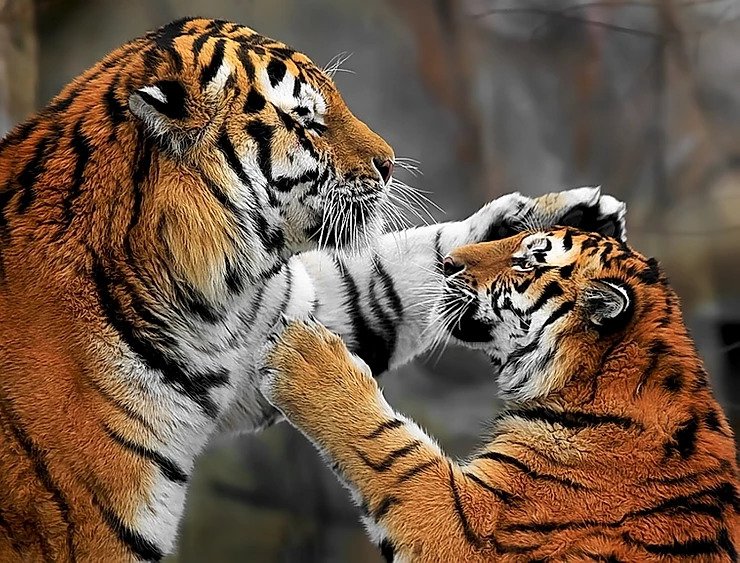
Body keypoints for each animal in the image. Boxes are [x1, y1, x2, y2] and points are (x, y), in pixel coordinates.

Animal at [0, 15, 629, 561]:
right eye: (306, 119)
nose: (388, 163)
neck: (206, 297)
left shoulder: (276, 321)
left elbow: (385, 278)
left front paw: (568, 218)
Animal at [263, 228, 739, 562]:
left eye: (526, 262)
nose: (447, 263)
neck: (594, 381)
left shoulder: (479, 529)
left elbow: (399, 454)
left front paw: (303, 355)